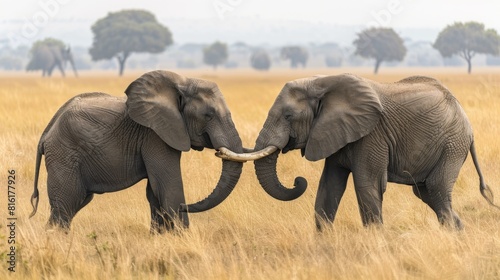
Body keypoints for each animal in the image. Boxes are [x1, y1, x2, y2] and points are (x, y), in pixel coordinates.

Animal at [30, 70, 243, 232]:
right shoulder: (155, 135)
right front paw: (183, 237)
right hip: (64, 155)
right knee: (66, 203)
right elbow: (168, 186)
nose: (186, 206)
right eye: (208, 115)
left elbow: (154, 191)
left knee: (73, 204)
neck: (182, 82)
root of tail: (45, 135)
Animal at [219, 74, 500, 230]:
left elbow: (367, 184)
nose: (299, 181)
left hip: (452, 144)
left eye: (288, 116)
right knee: (428, 193)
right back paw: (457, 232)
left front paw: (376, 244)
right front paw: (324, 244)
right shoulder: (334, 131)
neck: (322, 83)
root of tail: (468, 125)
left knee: (436, 188)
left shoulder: (371, 135)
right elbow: (329, 186)